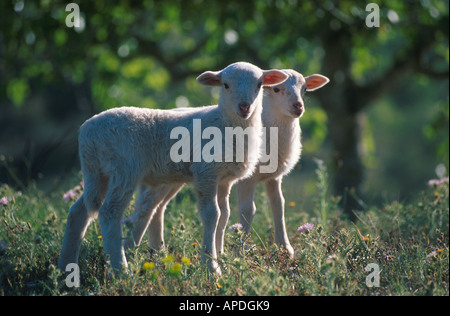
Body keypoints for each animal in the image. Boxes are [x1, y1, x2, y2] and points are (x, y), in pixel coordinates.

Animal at [58, 61, 286, 274]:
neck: (225, 123)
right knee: (109, 212)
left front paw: (220, 256)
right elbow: (212, 215)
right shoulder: (205, 172)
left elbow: (224, 215)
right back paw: (121, 270)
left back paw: (65, 268)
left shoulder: (224, 179)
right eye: (226, 85)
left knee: (79, 212)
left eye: (259, 85)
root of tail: (87, 133)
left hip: (98, 173)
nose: (244, 107)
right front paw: (211, 266)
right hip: (124, 169)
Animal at [237, 69, 328, 256]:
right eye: (276, 89)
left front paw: (285, 248)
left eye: (305, 89)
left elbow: (279, 205)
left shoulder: (274, 177)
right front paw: (241, 251)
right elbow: (247, 210)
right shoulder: (246, 178)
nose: (298, 106)